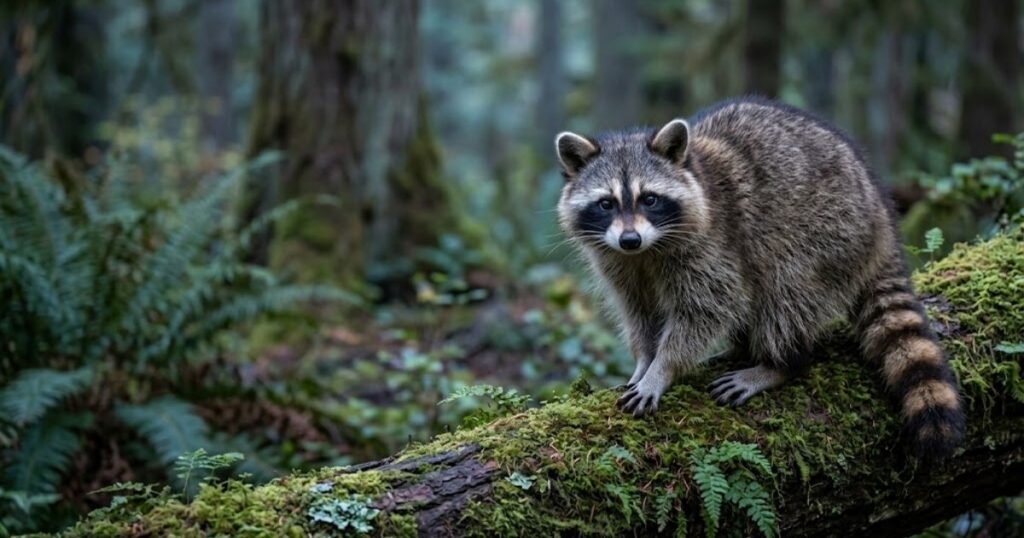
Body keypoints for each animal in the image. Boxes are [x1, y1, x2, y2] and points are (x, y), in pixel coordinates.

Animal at [554, 98, 965, 459]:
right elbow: (640, 313)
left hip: (830, 231)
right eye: (606, 203)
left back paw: (780, 364)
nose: (630, 239)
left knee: (786, 292)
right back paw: (741, 348)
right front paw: (643, 361)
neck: (647, 251)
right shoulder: (620, 264)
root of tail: (882, 216)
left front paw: (662, 369)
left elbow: (708, 308)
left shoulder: (712, 245)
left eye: (650, 199)